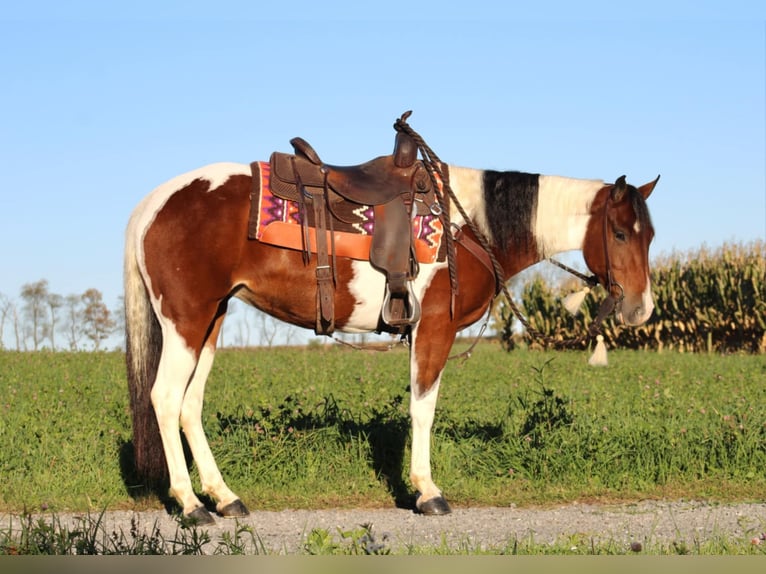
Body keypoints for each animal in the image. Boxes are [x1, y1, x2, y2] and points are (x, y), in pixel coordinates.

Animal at [124, 126, 660, 528]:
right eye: (618, 233)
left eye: (650, 235)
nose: (642, 309)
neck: (469, 225)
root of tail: (152, 203)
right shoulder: (434, 330)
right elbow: (423, 411)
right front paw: (427, 492)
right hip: (186, 321)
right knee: (165, 399)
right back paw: (191, 506)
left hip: (211, 321)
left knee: (190, 406)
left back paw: (224, 497)